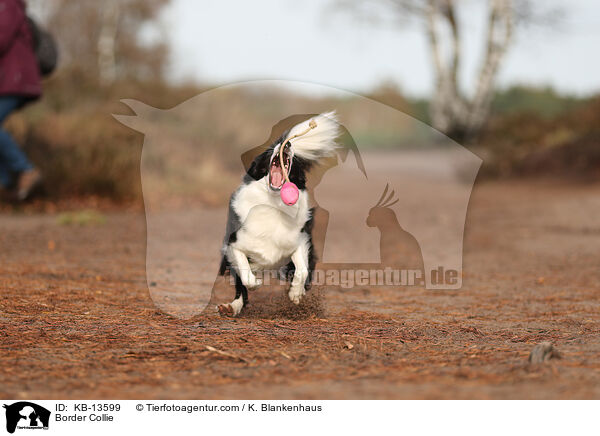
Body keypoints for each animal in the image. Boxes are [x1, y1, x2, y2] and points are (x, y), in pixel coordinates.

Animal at [217, 111, 340, 316]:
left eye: (295, 161)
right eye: (267, 154)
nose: (286, 145)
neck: (273, 204)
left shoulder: (300, 240)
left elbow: (302, 270)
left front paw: (296, 293)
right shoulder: (234, 244)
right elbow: (244, 274)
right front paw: (255, 284)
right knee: (240, 287)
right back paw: (230, 307)